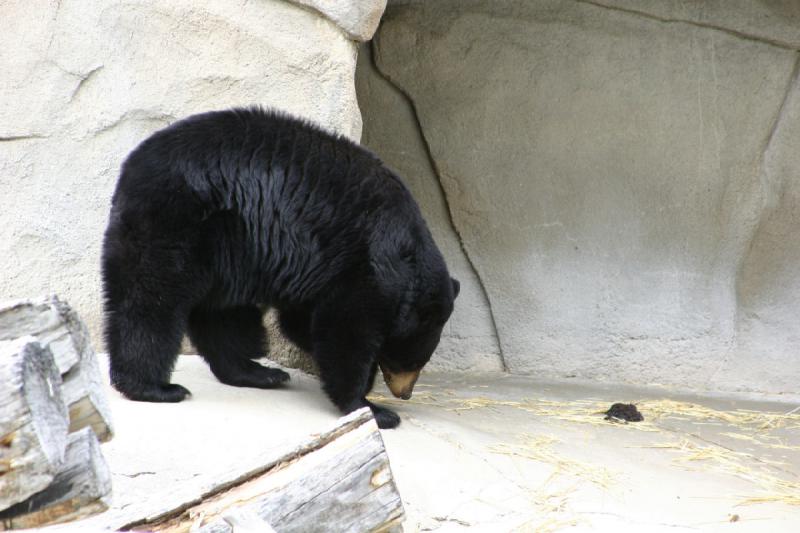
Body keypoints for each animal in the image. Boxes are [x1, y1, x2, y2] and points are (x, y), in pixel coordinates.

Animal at [100, 107, 460, 428]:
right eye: (414, 359)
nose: (405, 393)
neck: (406, 256)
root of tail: (132, 167)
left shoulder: (320, 270)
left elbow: (302, 321)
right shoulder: (365, 263)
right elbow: (345, 329)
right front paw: (371, 408)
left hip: (230, 247)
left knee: (222, 314)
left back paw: (258, 372)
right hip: (178, 222)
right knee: (151, 301)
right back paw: (155, 387)